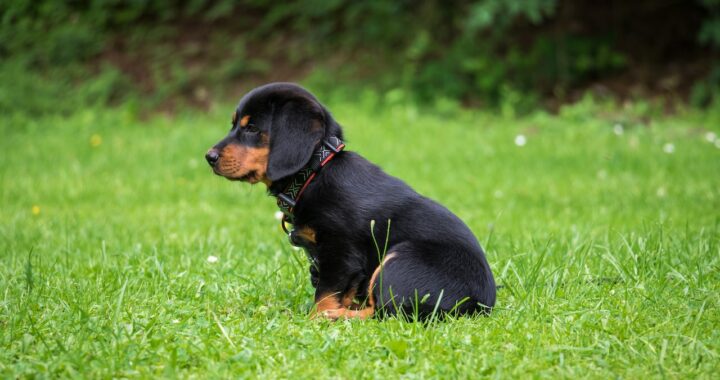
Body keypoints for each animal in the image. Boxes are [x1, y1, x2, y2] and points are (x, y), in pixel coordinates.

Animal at [205, 83, 492, 320]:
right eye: (234, 125)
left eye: (252, 128)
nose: (209, 157)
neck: (315, 171)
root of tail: (478, 306)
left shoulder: (340, 252)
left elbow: (325, 294)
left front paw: (316, 318)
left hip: (400, 259)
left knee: (385, 313)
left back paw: (335, 317)